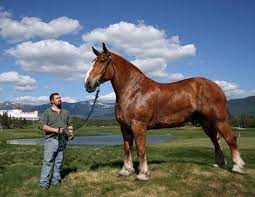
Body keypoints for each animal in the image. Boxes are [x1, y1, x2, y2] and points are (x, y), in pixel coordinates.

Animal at [84, 43, 245, 180]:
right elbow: (127, 149)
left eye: (103, 60)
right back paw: (218, 163)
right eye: (93, 61)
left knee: (231, 139)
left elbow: (141, 149)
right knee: (216, 140)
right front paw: (126, 171)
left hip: (220, 120)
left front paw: (143, 174)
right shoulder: (125, 128)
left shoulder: (139, 126)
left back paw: (238, 167)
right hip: (206, 123)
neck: (134, 91)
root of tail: (217, 87)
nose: (88, 84)